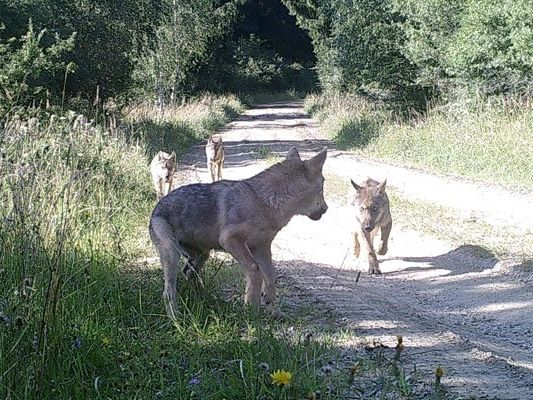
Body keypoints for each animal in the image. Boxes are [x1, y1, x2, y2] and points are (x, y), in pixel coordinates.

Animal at [148, 145, 326, 318]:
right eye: (324, 186)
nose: (326, 209)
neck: (265, 202)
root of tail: (156, 207)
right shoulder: (231, 240)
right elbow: (255, 271)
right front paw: (252, 314)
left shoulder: (261, 247)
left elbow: (271, 276)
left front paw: (270, 305)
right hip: (172, 254)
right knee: (168, 291)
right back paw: (176, 318)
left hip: (201, 256)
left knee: (188, 273)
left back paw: (202, 297)